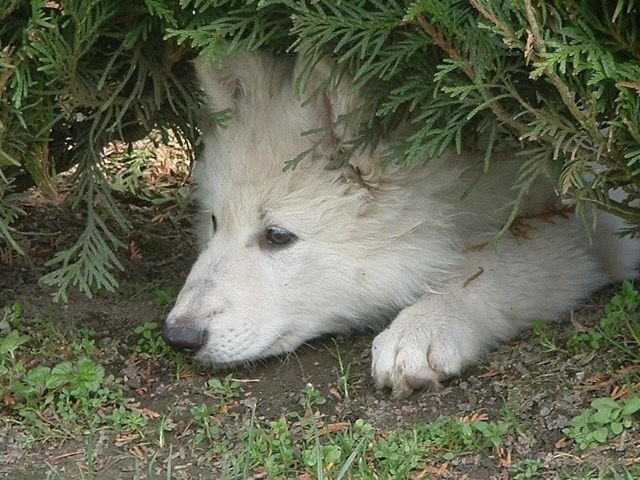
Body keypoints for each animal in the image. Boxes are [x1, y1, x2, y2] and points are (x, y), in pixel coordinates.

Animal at [162, 50, 640, 398]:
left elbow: (490, 264)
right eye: (215, 221)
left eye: (277, 236)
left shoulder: (582, 225)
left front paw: (421, 328)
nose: (177, 336)